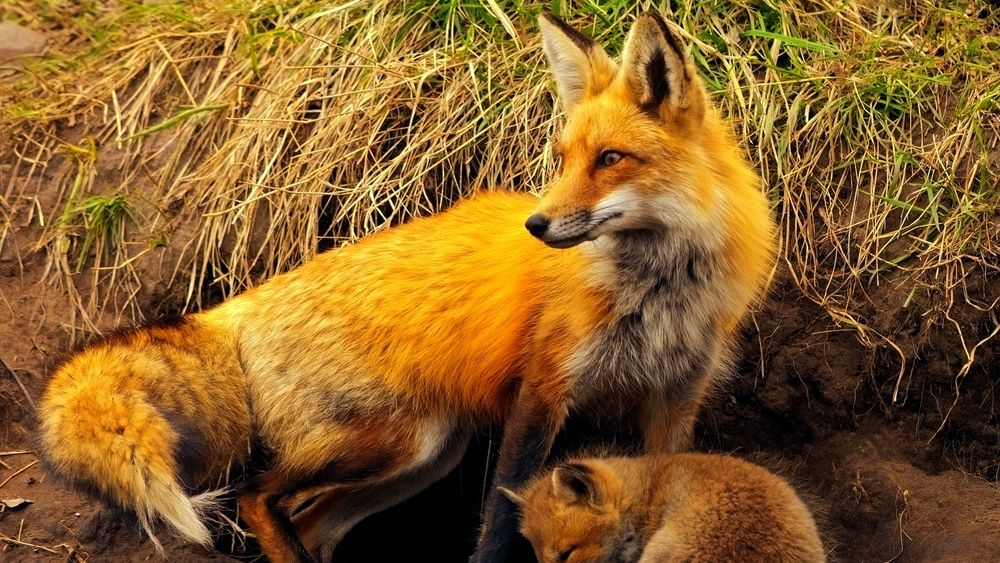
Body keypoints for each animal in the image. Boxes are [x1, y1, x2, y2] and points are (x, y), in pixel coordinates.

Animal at [37, 10, 775, 563]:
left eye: (611, 159)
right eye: (562, 158)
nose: (536, 224)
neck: (657, 295)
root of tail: (237, 304)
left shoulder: (674, 399)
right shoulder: (542, 391)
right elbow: (500, 519)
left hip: (424, 457)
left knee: (309, 523)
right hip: (393, 441)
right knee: (255, 495)